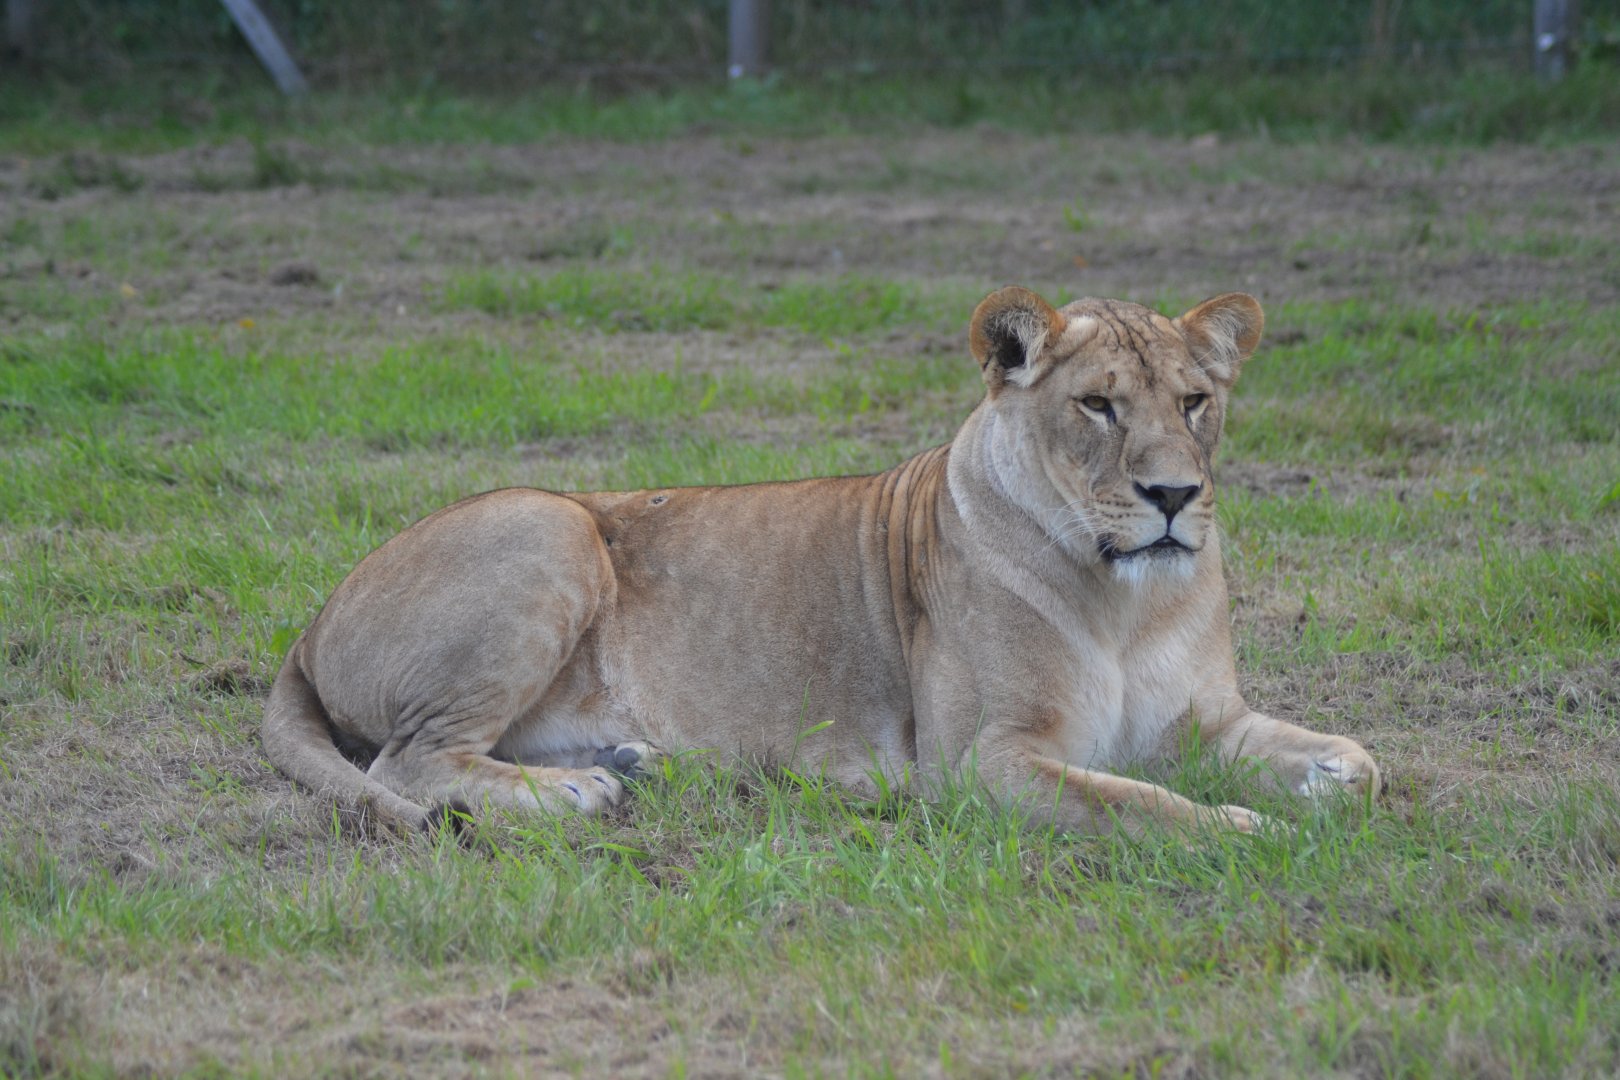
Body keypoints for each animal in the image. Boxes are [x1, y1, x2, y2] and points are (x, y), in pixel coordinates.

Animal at [263, 285, 1379, 836]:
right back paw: (578, 794)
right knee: (411, 761)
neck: (1124, 598)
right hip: (547, 525)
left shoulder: (1209, 721)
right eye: (1097, 405)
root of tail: (309, 627)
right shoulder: (982, 763)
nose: (1173, 497)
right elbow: (1142, 804)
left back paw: (634, 762)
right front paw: (1250, 827)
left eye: (1194, 403)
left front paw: (1322, 786)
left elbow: (1361, 762)